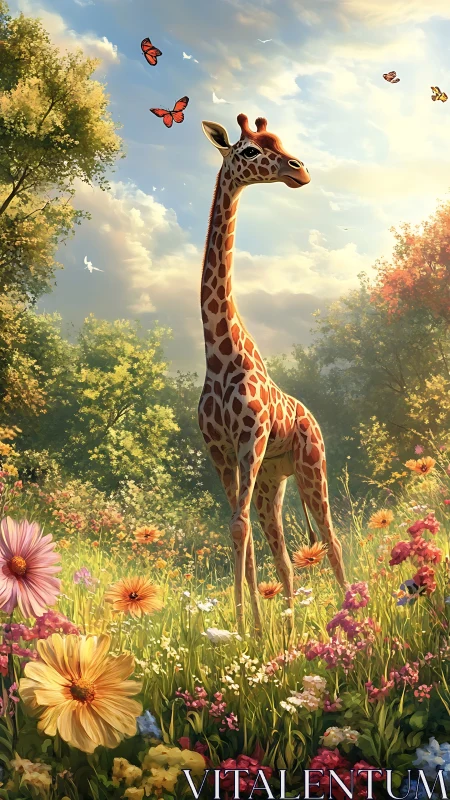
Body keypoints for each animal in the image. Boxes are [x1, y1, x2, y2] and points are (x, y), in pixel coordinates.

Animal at [198, 113, 346, 634]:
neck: (218, 355)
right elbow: (236, 528)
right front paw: (250, 630)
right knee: (282, 553)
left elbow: (238, 528)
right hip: (272, 481)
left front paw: (244, 629)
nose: (299, 170)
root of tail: (314, 420)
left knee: (333, 539)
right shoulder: (221, 450)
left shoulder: (251, 439)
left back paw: (352, 613)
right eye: (248, 150)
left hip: (311, 466)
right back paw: (289, 626)